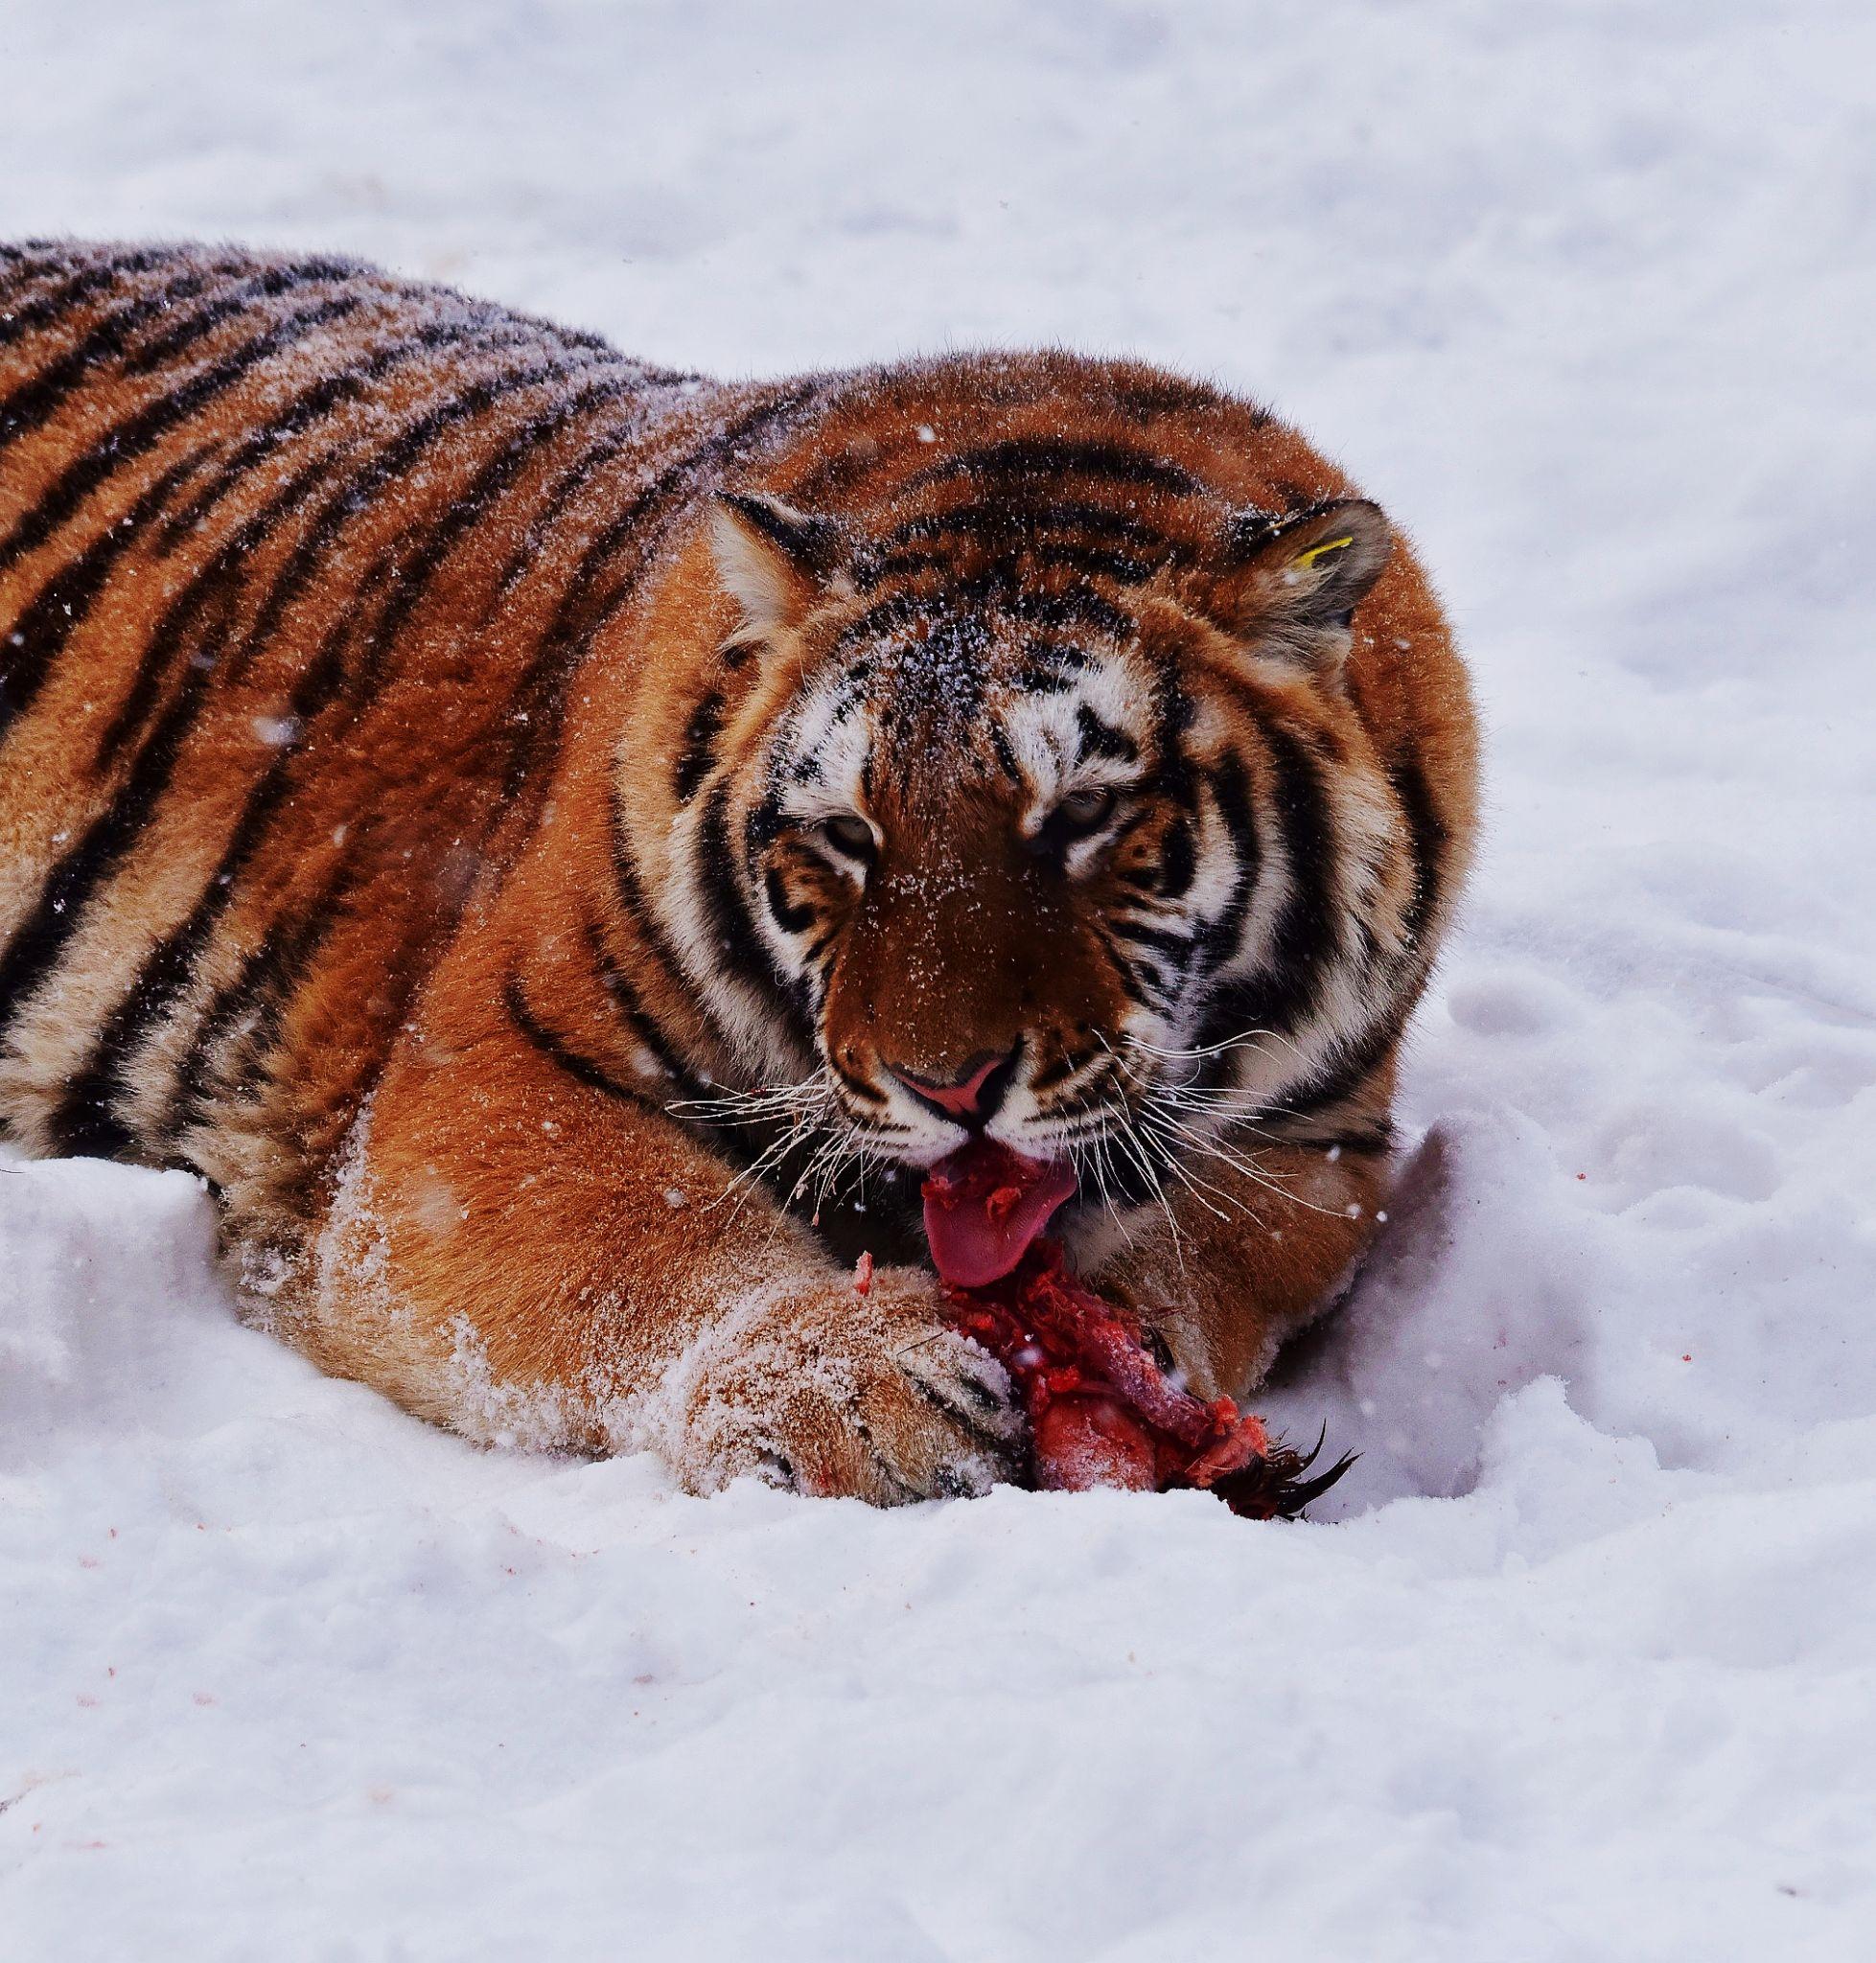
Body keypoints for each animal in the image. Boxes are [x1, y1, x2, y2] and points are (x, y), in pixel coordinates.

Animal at [0, 241, 1478, 1502]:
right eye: (849, 835)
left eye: (1083, 817)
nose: (952, 1089)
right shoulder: (478, 1088)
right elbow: (660, 1247)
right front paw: (855, 1388)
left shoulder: (1317, 1145)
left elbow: (1202, 1254)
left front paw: (1131, 1366)